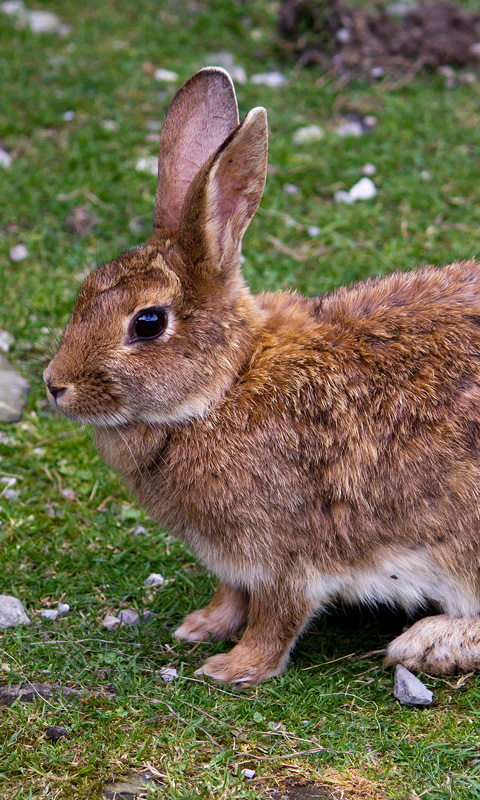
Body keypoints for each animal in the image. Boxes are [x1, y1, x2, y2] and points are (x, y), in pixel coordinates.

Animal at [44, 67, 480, 688]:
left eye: (148, 323)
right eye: (86, 288)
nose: (55, 385)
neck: (226, 386)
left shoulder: (285, 553)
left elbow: (277, 615)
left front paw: (234, 667)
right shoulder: (235, 561)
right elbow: (233, 595)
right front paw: (201, 626)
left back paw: (427, 643)